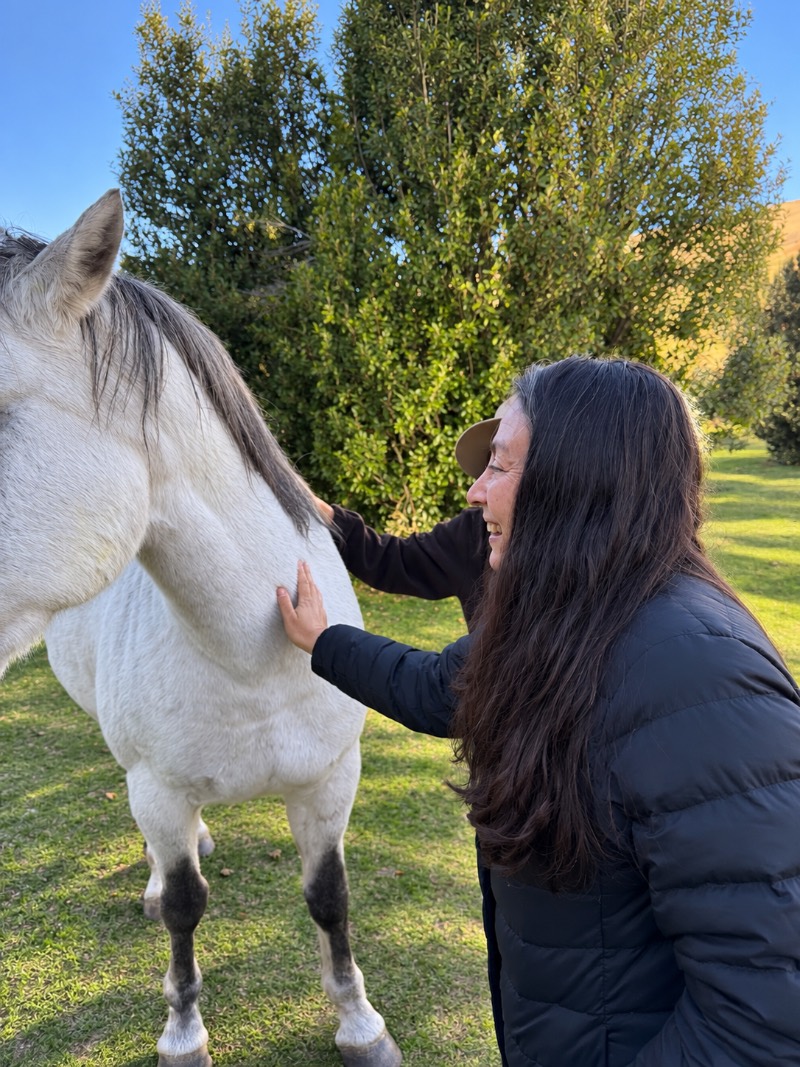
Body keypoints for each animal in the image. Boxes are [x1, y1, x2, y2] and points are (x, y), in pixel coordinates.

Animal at [0, 190, 402, 1067]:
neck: (251, 654)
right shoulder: (159, 787)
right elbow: (186, 904)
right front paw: (183, 1031)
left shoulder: (330, 779)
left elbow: (330, 894)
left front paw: (359, 1021)